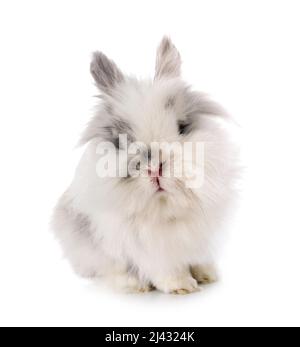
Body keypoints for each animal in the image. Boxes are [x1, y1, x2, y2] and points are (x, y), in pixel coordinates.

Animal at [52, 37, 239, 294]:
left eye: (182, 127)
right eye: (121, 141)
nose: (154, 169)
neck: (163, 209)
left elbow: (197, 258)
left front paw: (207, 275)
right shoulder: (149, 249)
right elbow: (165, 269)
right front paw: (182, 286)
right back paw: (133, 284)